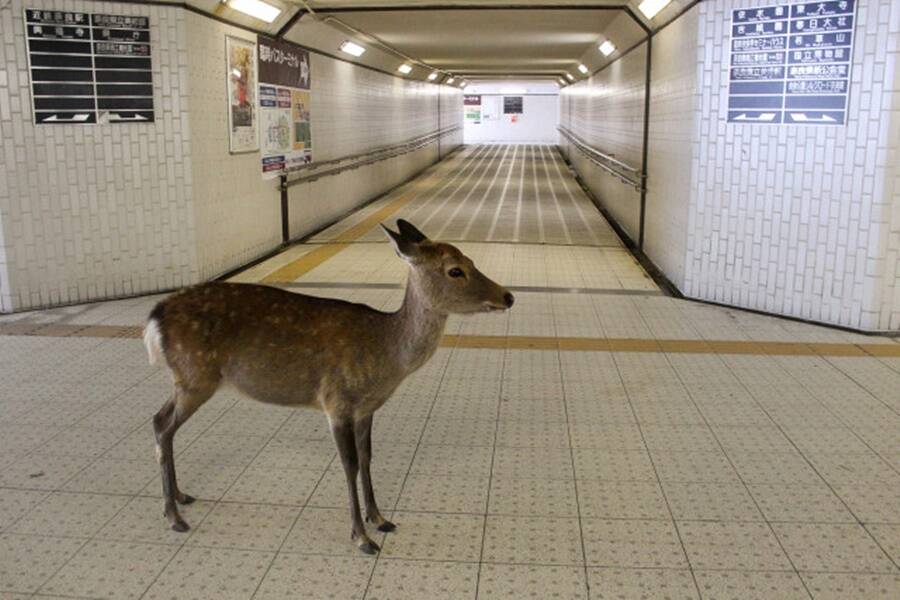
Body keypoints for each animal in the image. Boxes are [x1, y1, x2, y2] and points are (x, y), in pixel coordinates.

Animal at [145, 219, 516, 552]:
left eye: (471, 260)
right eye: (455, 270)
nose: (509, 295)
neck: (387, 356)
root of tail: (153, 319)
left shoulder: (366, 408)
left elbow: (367, 457)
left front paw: (380, 518)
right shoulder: (336, 401)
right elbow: (349, 464)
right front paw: (362, 537)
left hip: (187, 380)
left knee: (162, 422)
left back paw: (181, 496)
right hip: (195, 376)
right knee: (162, 424)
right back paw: (173, 516)